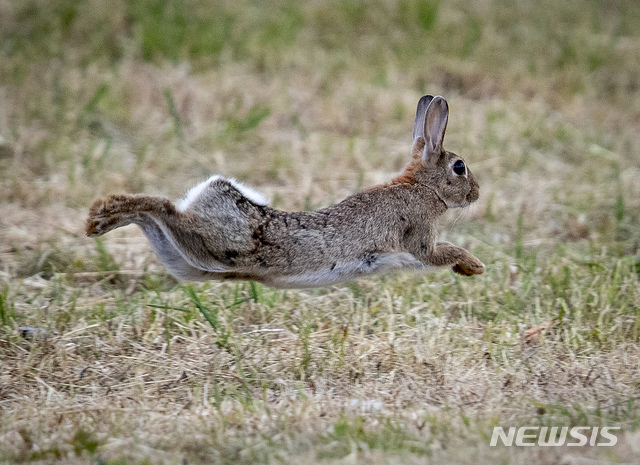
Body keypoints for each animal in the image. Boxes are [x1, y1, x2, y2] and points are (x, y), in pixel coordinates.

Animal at [86, 95, 484, 286]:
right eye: (459, 167)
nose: (477, 193)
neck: (421, 187)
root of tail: (213, 192)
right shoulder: (419, 237)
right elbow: (441, 251)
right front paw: (474, 265)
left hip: (188, 260)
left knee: (154, 217)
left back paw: (101, 218)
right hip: (215, 242)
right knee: (163, 207)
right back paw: (100, 214)